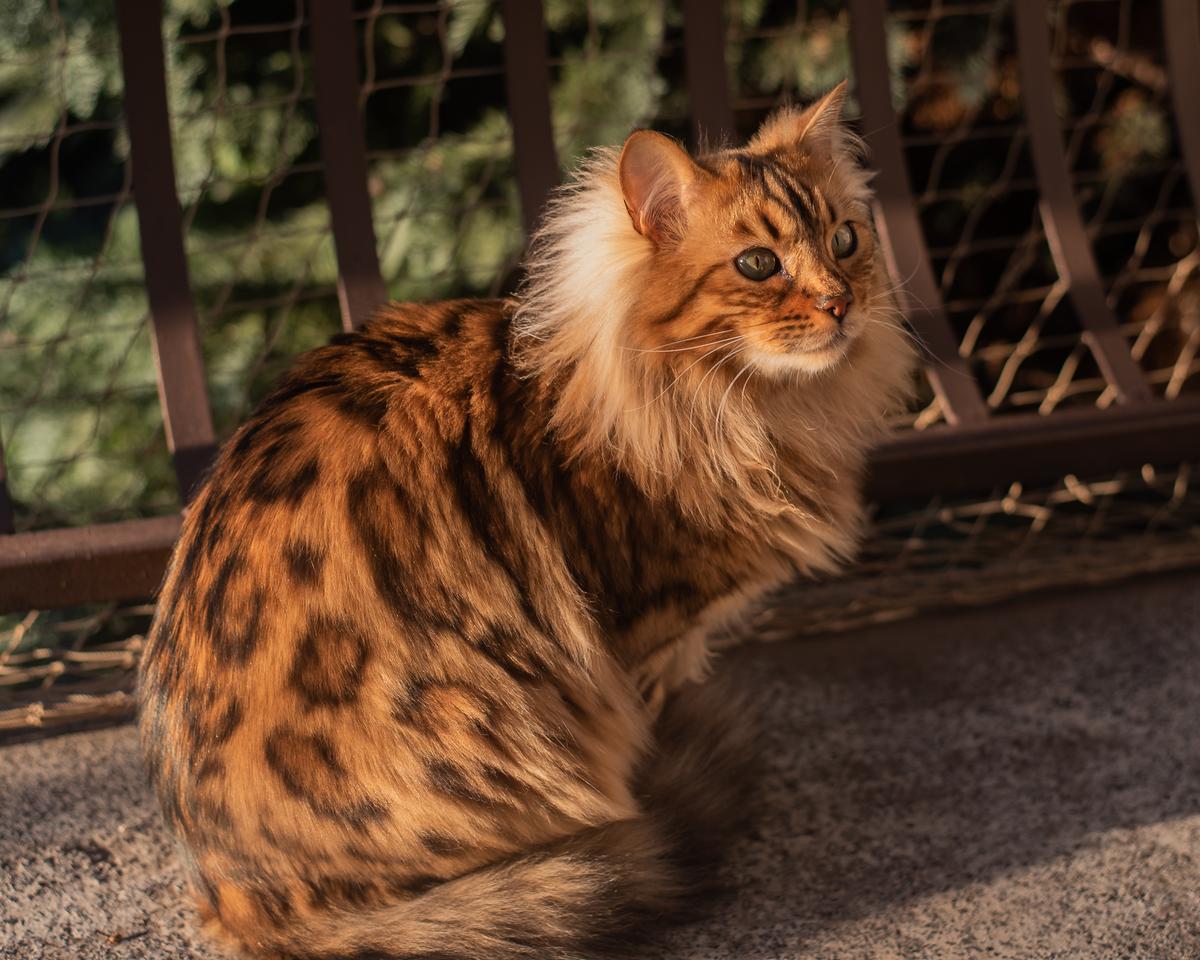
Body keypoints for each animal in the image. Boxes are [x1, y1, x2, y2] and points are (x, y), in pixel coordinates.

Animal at [138, 84, 907, 960]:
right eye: (758, 264)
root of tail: (230, 897)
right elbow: (647, 725)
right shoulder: (639, 639)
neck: (744, 409)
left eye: (846, 240)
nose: (842, 303)